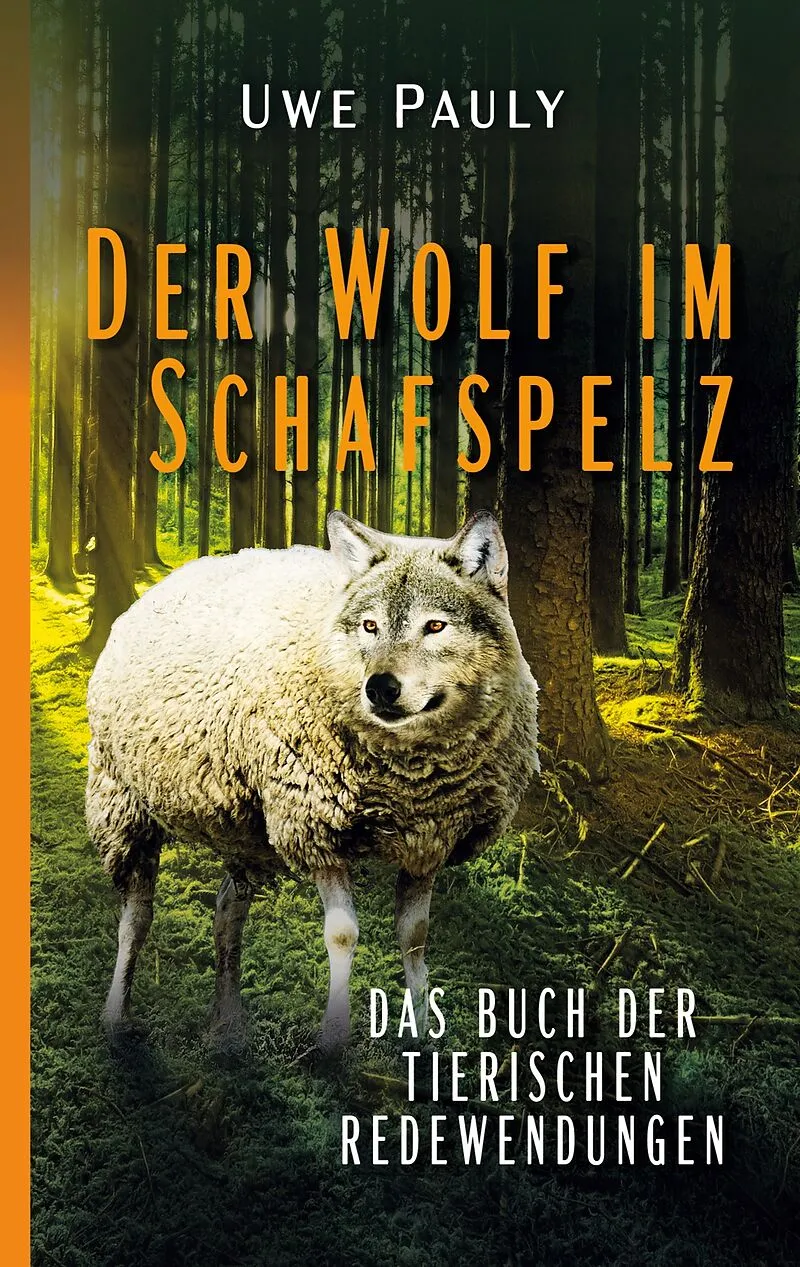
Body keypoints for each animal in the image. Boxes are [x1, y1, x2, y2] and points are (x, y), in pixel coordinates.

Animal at [86, 511, 540, 1051]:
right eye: (369, 625)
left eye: (435, 625)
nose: (380, 688)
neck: (411, 778)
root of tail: (170, 578)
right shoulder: (316, 830)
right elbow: (343, 935)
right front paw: (333, 1037)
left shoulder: (429, 841)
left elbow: (415, 938)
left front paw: (425, 1032)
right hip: (122, 802)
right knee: (135, 918)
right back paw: (116, 1016)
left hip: (245, 830)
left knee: (227, 910)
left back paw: (227, 1022)